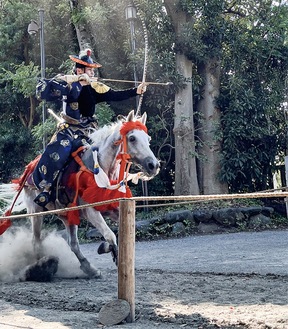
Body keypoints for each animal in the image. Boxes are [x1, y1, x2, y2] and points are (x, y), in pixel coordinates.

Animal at [0, 111, 159, 280]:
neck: (100, 170)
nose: (154, 165)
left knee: (73, 244)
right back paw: (40, 267)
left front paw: (107, 249)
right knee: (36, 241)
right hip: (35, 211)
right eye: (132, 138)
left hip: (66, 214)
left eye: (148, 139)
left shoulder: (113, 208)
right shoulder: (91, 211)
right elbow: (110, 235)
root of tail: (28, 170)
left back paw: (90, 269)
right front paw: (110, 250)